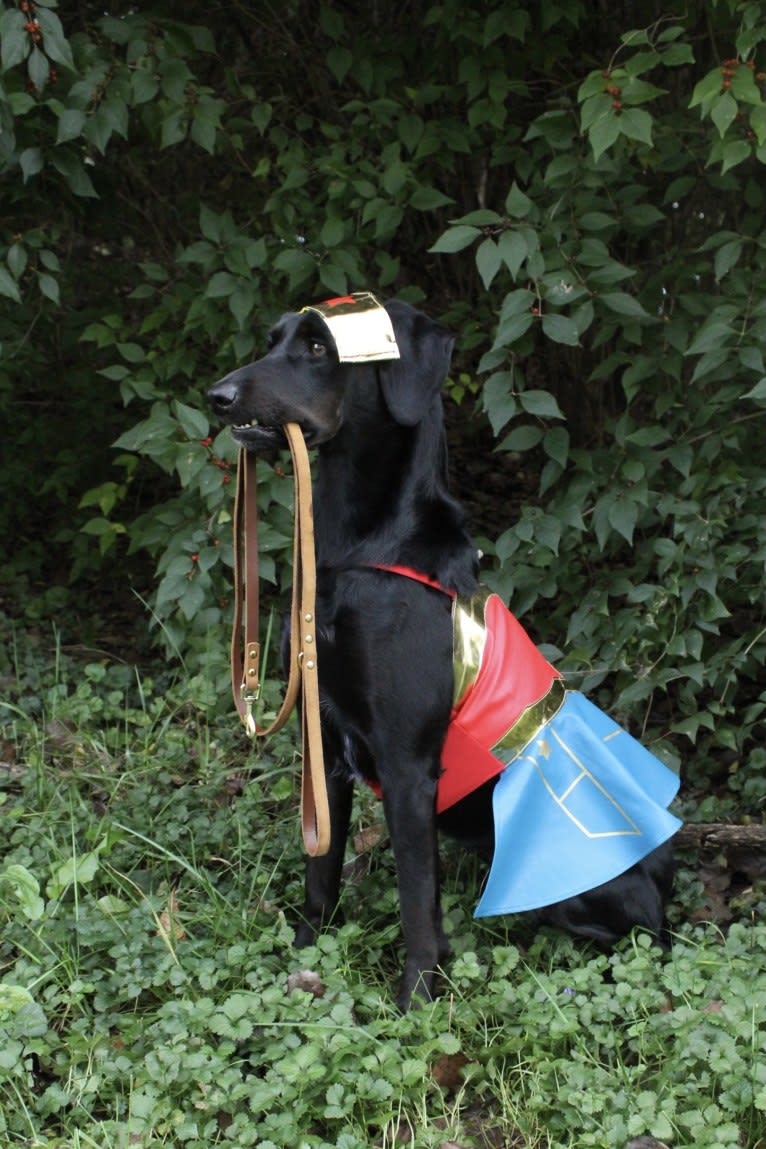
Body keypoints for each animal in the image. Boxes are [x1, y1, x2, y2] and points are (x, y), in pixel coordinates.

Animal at [206, 301, 675, 1011]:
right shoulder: (323, 747)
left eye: (317, 347)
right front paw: (305, 961)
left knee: (629, 936)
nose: (218, 395)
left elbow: (416, 904)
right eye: (273, 340)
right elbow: (320, 876)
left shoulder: (407, 765)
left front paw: (415, 1004)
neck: (356, 553)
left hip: (583, 890)